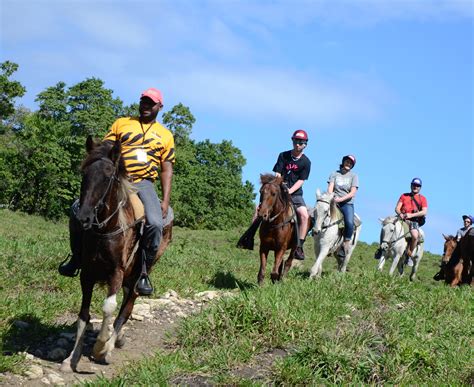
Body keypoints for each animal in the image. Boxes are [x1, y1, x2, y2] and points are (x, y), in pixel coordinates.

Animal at [60, 138, 172, 374]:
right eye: (84, 173)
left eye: (108, 176)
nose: (83, 217)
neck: (106, 228)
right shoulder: (87, 274)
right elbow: (83, 315)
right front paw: (71, 359)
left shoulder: (116, 272)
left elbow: (108, 307)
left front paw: (99, 347)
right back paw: (117, 339)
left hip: (138, 276)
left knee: (126, 309)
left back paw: (109, 348)